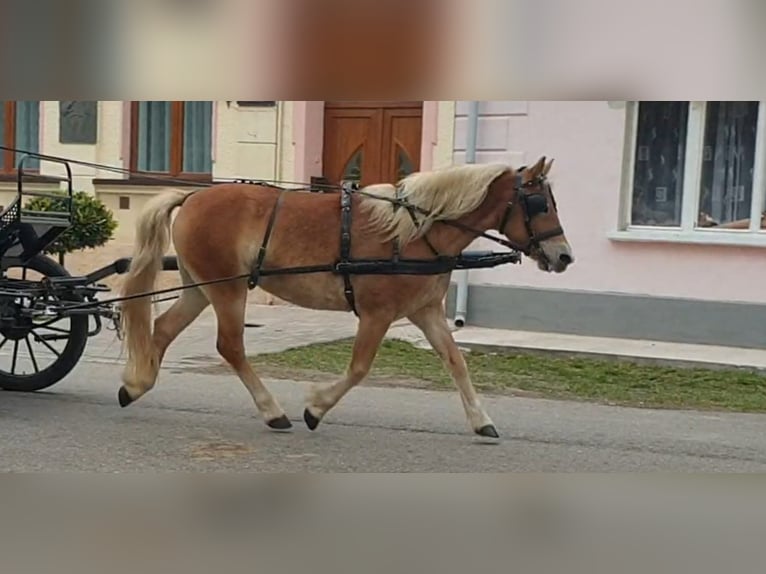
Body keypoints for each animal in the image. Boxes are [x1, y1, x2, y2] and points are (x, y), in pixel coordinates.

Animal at [118, 155, 576, 438]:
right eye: (539, 202)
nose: (564, 256)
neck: (414, 232)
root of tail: (194, 194)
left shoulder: (426, 311)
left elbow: (456, 362)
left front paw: (481, 421)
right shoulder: (377, 314)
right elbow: (359, 369)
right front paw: (315, 408)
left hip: (201, 287)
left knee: (163, 329)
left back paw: (136, 385)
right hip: (227, 289)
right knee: (229, 345)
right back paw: (272, 410)